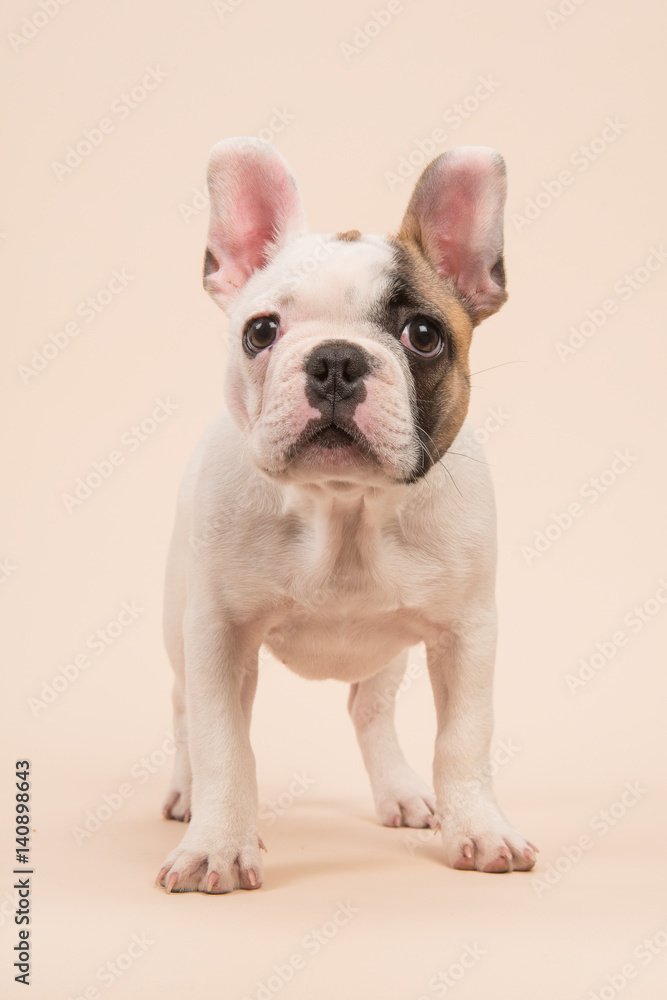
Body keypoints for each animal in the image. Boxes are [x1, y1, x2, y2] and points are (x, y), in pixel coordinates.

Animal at [157, 137, 536, 896]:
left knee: (370, 708)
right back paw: (186, 793)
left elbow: (463, 740)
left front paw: (480, 829)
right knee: (185, 710)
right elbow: (222, 744)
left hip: (388, 652)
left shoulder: (467, 634)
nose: (335, 359)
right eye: (260, 331)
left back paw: (401, 792)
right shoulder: (216, 634)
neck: (344, 510)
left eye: (422, 334)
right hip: (177, 619)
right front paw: (217, 845)